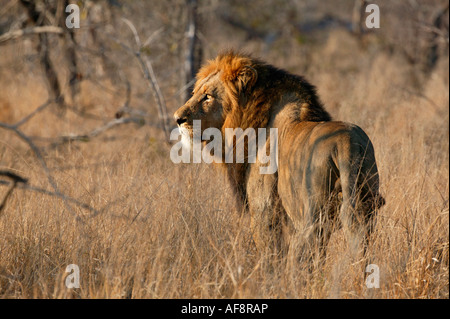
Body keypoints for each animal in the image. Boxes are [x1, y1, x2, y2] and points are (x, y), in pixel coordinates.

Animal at [174, 51, 384, 264]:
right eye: (194, 93)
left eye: (207, 97)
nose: (177, 119)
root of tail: (346, 144)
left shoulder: (264, 211)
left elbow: (270, 257)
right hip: (366, 205)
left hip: (312, 216)